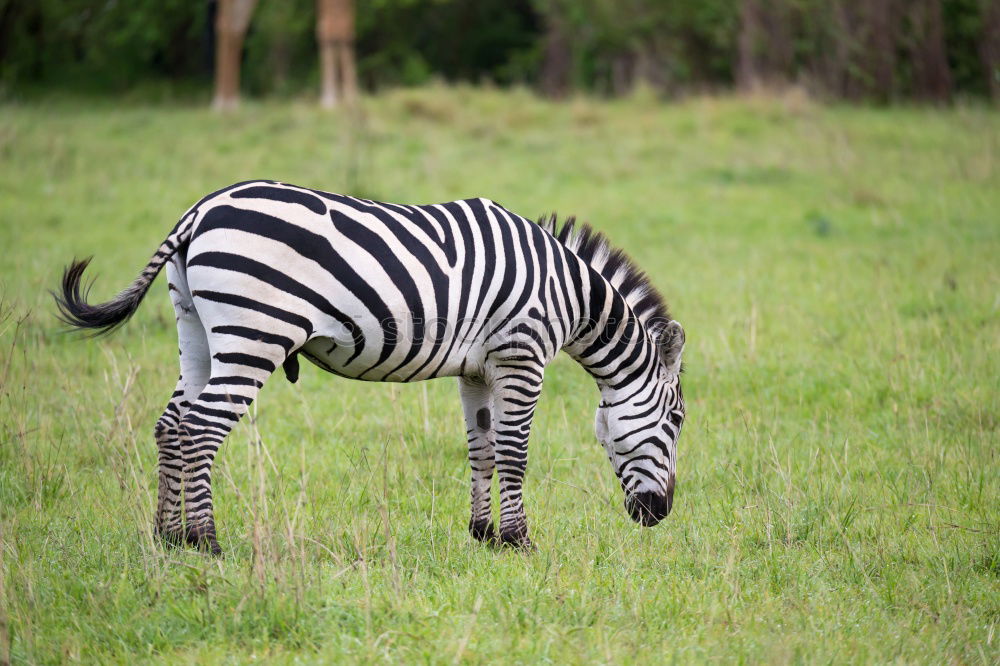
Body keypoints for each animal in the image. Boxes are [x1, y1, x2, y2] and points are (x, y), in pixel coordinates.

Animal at [56, 179, 688, 552]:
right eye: (677, 424)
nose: (658, 516)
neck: (569, 295)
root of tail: (199, 209)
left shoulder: (477, 369)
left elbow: (482, 448)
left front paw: (483, 535)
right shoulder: (520, 355)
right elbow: (513, 452)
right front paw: (518, 541)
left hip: (194, 330)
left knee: (171, 424)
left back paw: (167, 537)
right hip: (254, 333)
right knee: (200, 428)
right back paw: (205, 541)